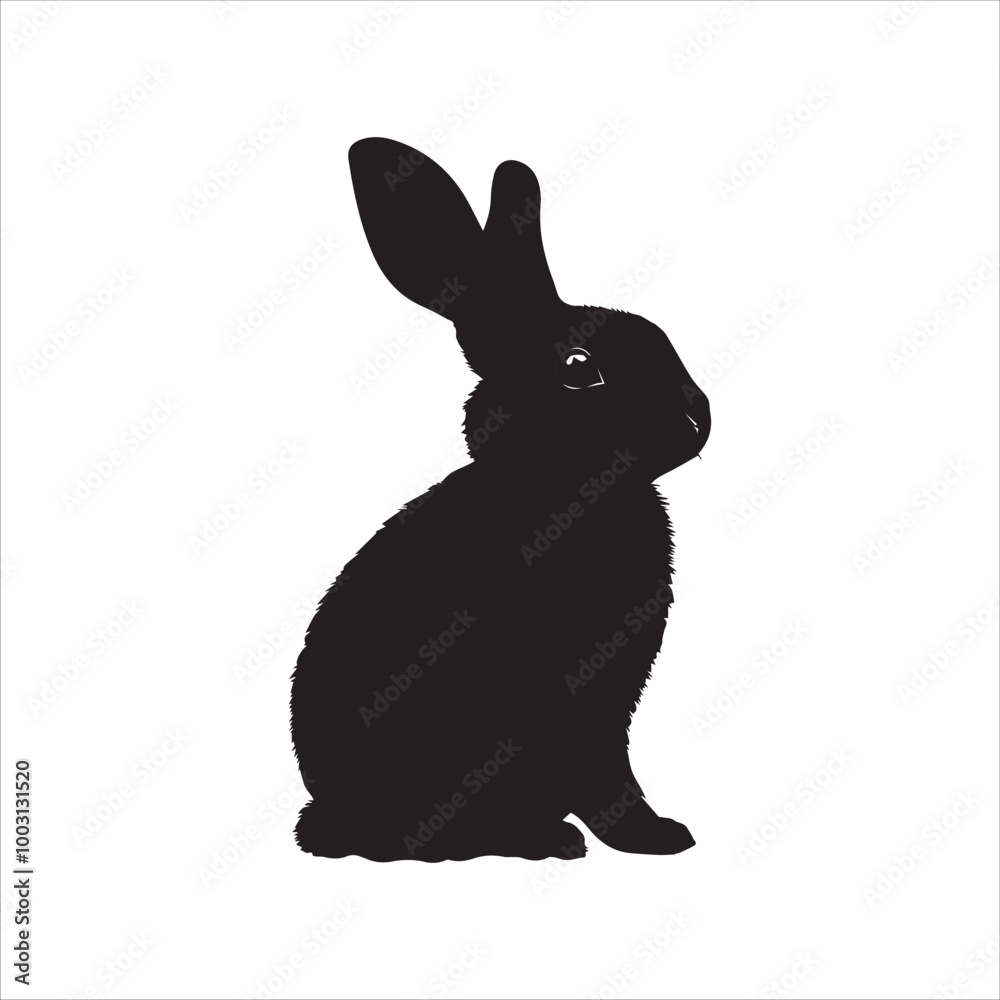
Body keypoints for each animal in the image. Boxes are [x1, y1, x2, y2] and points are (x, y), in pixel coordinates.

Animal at [289, 137, 711, 861]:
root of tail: (328, 813)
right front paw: (647, 838)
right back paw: (538, 838)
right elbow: (598, 769)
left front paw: (655, 835)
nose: (697, 417)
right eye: (579, 368)